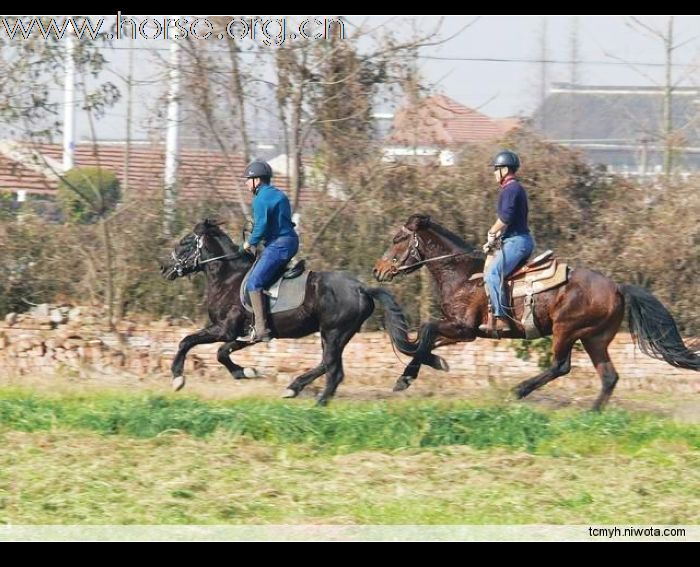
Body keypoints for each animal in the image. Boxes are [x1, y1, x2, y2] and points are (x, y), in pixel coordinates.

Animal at [163, 217, 426, 404]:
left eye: (186, 242)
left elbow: (186, 341)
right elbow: (221, 353)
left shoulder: (224, 329)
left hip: (334, 333)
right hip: (335, 335)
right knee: (331, 367)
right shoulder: (244, 335)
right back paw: (304, 393)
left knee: (332, 367)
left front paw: (177, 378)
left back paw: (308, 397)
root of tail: (362, 288)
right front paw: (245, 372)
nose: (163, 267)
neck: (229, 278)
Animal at [374, 213, 696, 408]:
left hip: (567, 330)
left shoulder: (463, 328)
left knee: (560, 366)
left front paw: (409, 377)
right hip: (594, 338)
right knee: (608, 377)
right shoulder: (459, 331)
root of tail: (617, 287)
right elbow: (423, 341)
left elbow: (426, 330)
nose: (378, 270)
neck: (461, 274)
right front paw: (428, 366)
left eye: (397, 239)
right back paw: (591, 414)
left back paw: (519, 390)